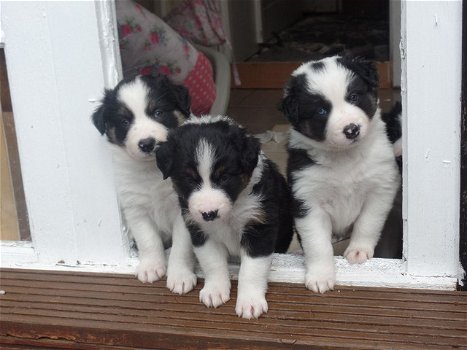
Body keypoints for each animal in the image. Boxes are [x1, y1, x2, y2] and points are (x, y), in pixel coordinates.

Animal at [91, 75, 197, 294]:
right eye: (124, 121)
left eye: (158, 112)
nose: (147, 143)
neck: (152, 171)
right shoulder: (135, 209)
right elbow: (148, 239)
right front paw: (151, 267)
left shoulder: (182, 210)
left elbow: (181, 247)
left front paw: (180, 276)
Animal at [156, 116, 292, 318]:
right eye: (189, 179)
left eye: (225, 177)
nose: (209, 213)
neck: (230, 214)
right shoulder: (200, 230)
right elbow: (212, 262)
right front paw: (215, 291)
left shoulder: (259, 228)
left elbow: (251, 269)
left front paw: (250, 302)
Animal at [282, 56, 402, 294]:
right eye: (321, 111)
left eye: (354, 97)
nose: (351, 129)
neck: (344, 158)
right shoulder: (306, 199)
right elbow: (316, 242)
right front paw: (320, 275)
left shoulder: (381, 187)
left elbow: (368, 221)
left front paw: (358, 251)